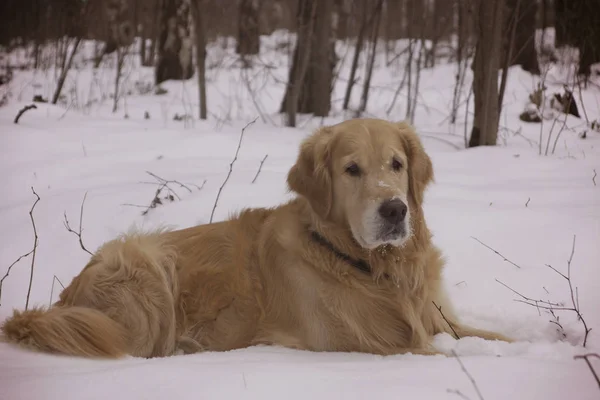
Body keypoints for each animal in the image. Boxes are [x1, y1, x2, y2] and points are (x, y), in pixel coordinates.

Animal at [1, 119, 510, 360]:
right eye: (351, 170)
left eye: (396, 164)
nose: (394, 210)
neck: (370, 265)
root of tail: (66, 298)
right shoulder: (368, 344)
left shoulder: (437, 318)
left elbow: (492, 336)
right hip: (143, 266)